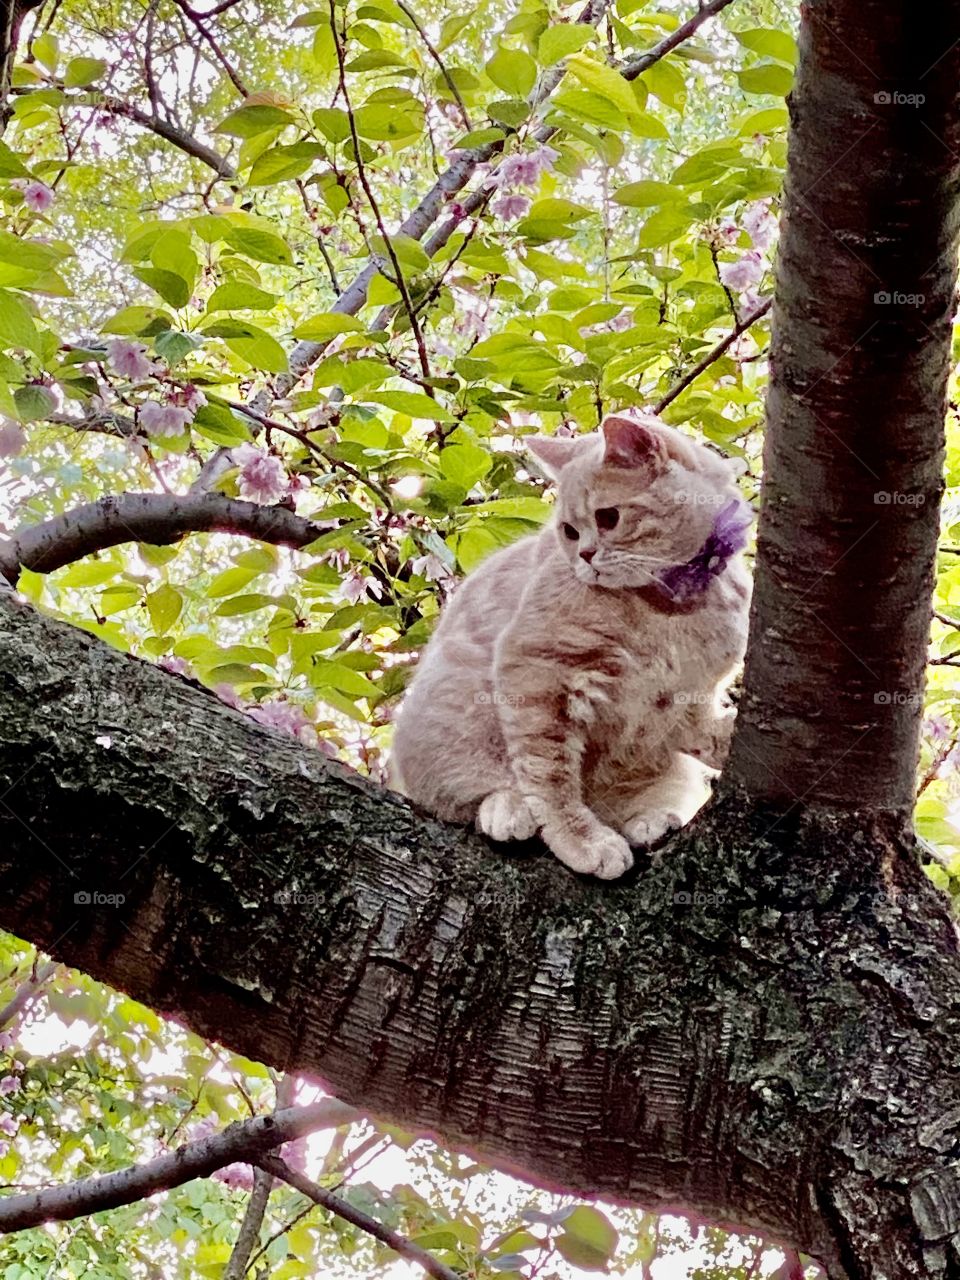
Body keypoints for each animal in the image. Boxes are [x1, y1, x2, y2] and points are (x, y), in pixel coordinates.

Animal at [391, 414, 752, 875]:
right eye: (569, 530)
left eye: (608, 517)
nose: (585, 556)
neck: (667, 610)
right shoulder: (538, 673)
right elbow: (550, 778)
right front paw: (582, 840)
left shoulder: (686, 697)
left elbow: (703, 732)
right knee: (468, 792)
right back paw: (508, 809)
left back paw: (651, 818)